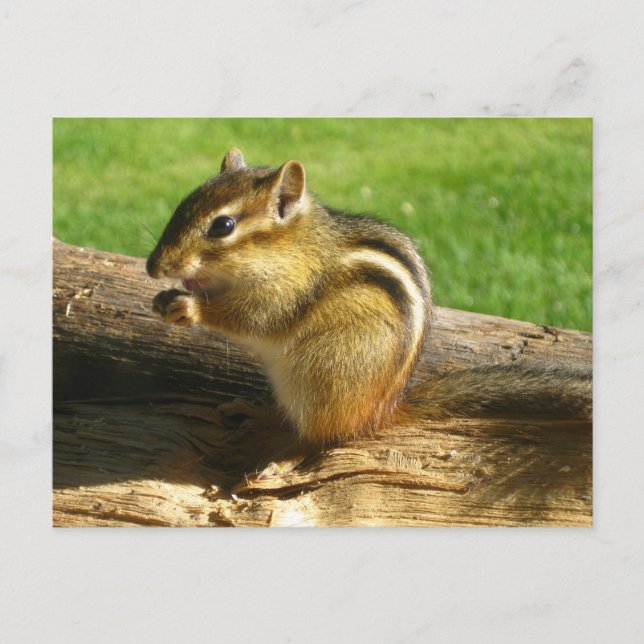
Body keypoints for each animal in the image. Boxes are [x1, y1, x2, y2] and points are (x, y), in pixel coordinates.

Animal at [146, 148, 592, 445]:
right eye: (182, 205)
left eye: (222, 226)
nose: (153, 267)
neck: (290, 247)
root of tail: (382, 411)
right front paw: (166, 297)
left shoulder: (286, 292)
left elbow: (253, 319)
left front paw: (189, 307)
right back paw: (255, 411)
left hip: (322, 374)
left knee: (317, 435)